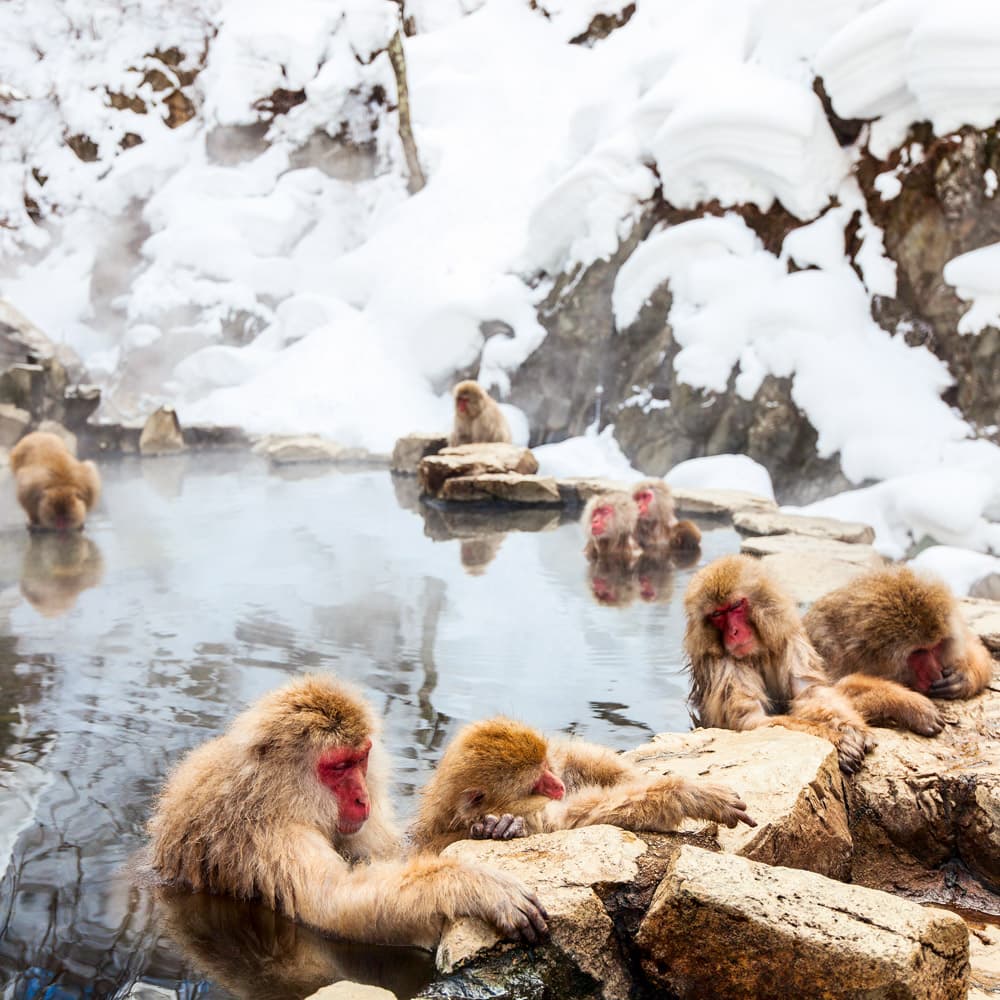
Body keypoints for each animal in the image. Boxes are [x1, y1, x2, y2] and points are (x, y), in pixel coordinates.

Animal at [145, 675, 549, 950]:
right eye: (338, 767)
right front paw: (473, 884)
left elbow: (389, 855)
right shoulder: (272, 835)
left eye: (360, 759)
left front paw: (495, 827)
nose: (361, 797)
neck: (272, 793)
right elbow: (334, 906)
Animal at [409, 716, 755, 854]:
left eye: (546, 768)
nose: (557, 785)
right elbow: (577, 819)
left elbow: (578, 759)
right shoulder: (534, 812)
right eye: (537, 783)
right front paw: (692, 795)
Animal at [683, 556, 945, 775]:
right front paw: (839, 741)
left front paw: (856, 727)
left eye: (736, 606)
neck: (755, 653)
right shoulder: (723, 664)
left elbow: (811, 692)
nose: (734, 632)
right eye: (717, 614)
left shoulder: (790, 638)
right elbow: (751, 721)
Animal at [804, 565, 994, 701]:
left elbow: (971, 643)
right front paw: (907, 702)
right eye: (918, 652)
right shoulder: (830, 653)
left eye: (935, 647)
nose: (935, 673)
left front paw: (962, 676)